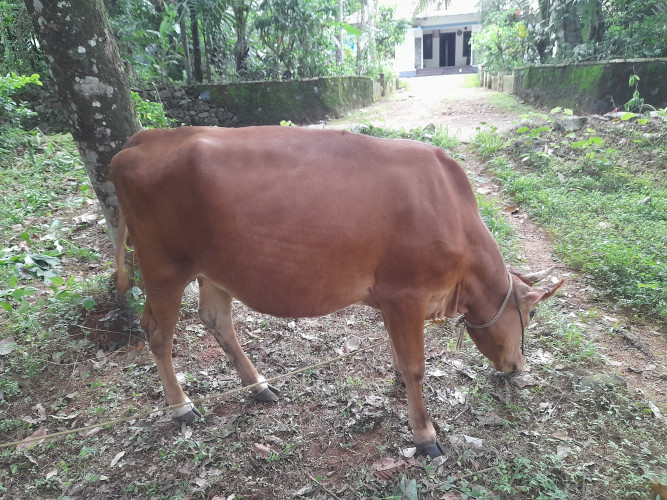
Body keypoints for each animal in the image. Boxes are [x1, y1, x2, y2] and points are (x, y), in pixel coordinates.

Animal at [111, 126, 563, 457]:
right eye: (532, 314)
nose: (519, 367)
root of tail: (144, 139)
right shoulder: (406, 294)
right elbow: (416, 365)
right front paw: (425, 435)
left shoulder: (390, 300)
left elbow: (398, 353)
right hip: (163, 270)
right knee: (157, 334)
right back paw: (181, 406)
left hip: (214, 271)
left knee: (217, 321)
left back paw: (259, 386)